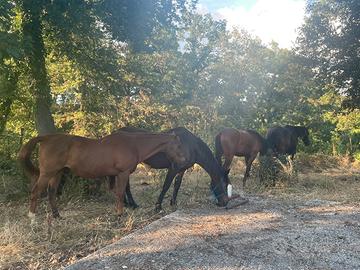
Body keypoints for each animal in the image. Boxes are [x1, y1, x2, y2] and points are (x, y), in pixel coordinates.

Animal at [17, 132, 186, 220]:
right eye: (178, 145)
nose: (184, 161)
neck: (133, 144)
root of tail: (46, 137)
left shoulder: (114, 175)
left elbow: (117, 193)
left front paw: (120, 210)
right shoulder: (122, 173)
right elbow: (120, 193)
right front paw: (120, 214)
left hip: (57, 173)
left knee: (51, 193)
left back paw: (57, 216)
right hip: (47, 173)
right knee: (35, 192)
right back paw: (32, 218)